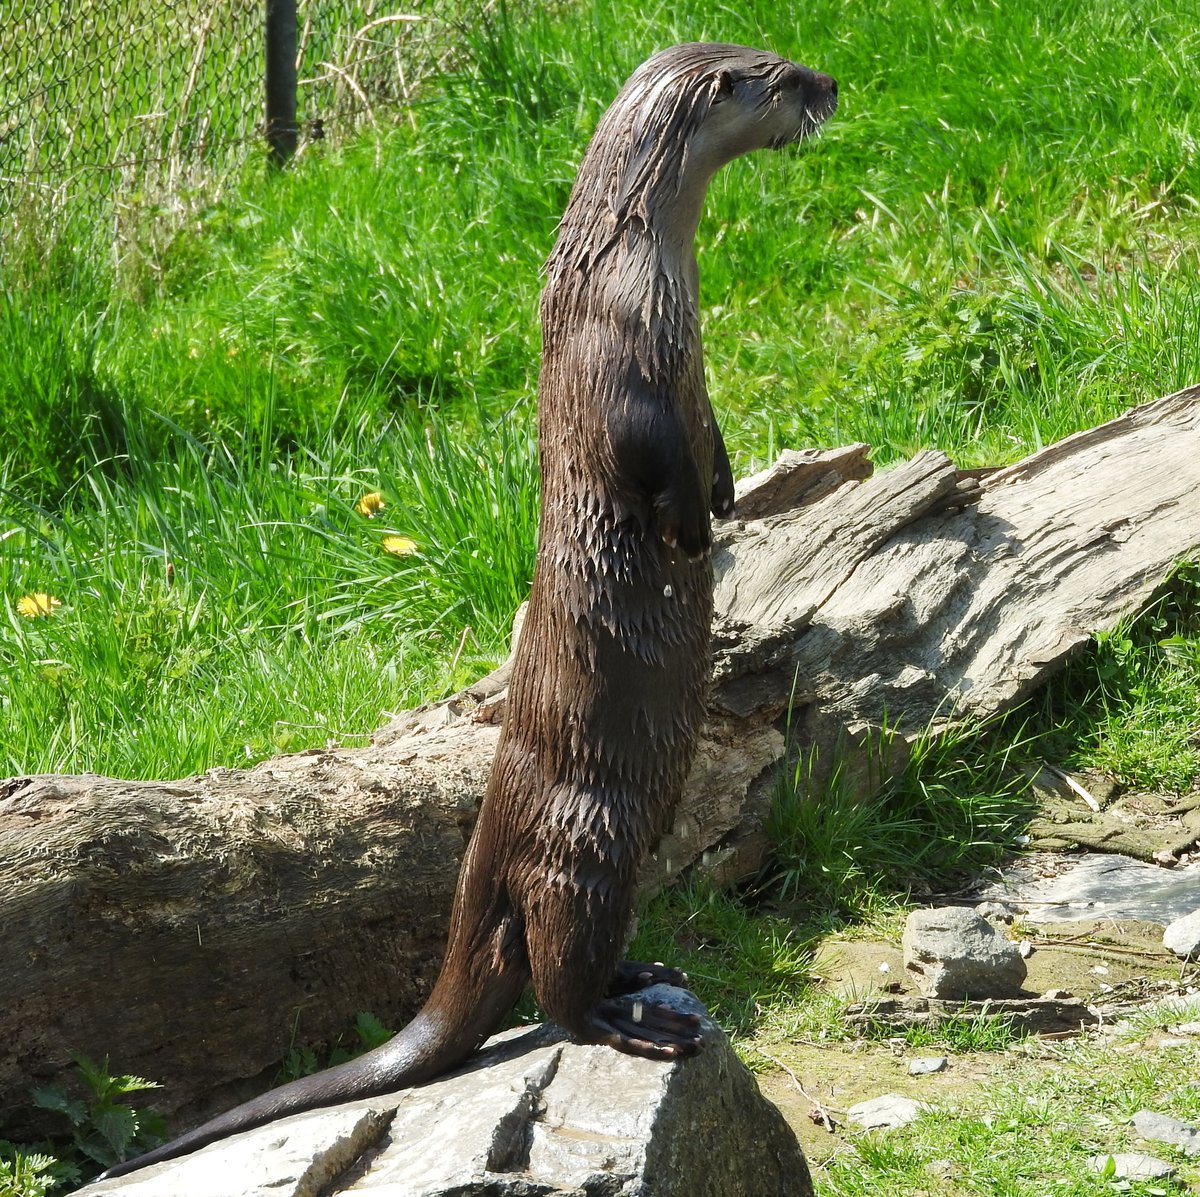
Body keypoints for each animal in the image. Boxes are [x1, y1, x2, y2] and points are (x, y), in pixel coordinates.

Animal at [100, 39, 835, 1180]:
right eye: (781, 73)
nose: (833, 87)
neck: (640, 262)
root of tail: (485, 849)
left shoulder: (692, 368)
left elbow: (709, 434)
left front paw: (722, 495)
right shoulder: (619, 360)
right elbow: (647, 456)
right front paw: (687, 529)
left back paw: (644, 975)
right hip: (586, 846)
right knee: (557, 984)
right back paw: (633, 1022)